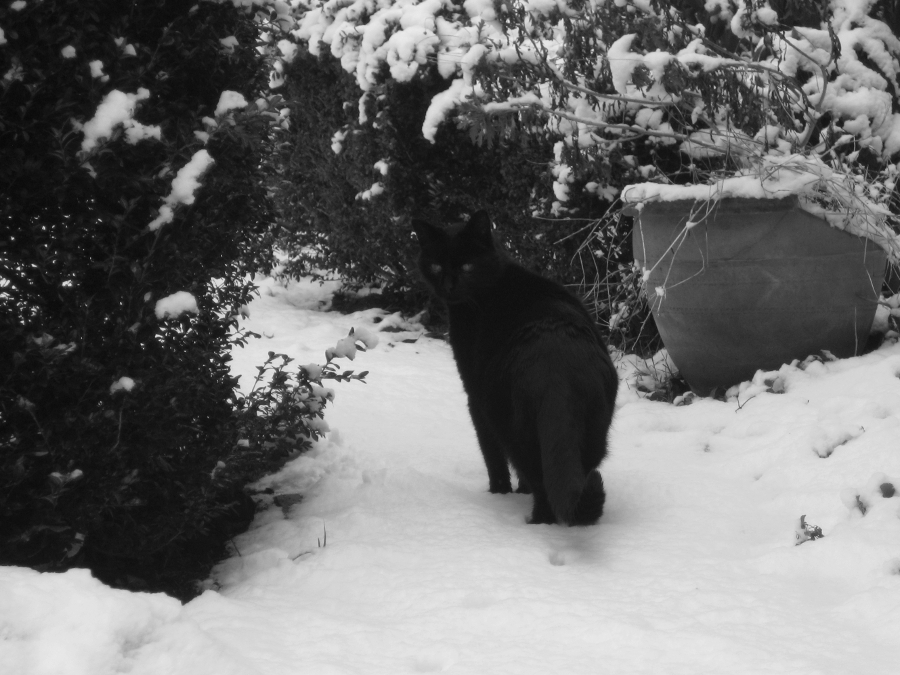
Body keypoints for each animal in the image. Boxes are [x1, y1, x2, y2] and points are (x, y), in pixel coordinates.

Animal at [412, 210, 618, 525]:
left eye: (467, 266)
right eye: (436, 265)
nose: (448, 286)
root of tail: (558, 373)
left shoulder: (474, 399)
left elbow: (493, 458)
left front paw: (499, 494)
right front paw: (519, 492)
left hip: (507, 422)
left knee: (539, 482)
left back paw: (535, 523)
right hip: (595, 430)